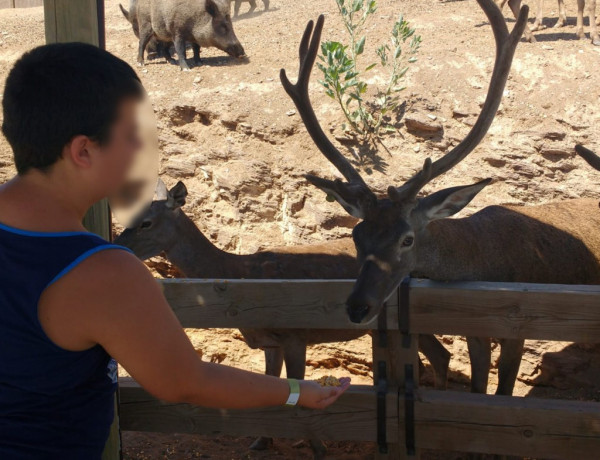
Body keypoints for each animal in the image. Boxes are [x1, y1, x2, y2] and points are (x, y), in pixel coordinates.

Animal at [280, 0, 600, 398]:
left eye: (407, 239)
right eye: (356, 235)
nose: (356, 308)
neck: (482, 264)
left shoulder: (519, 324)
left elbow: (504, 392)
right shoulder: (474, 333)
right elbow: (478, 388)